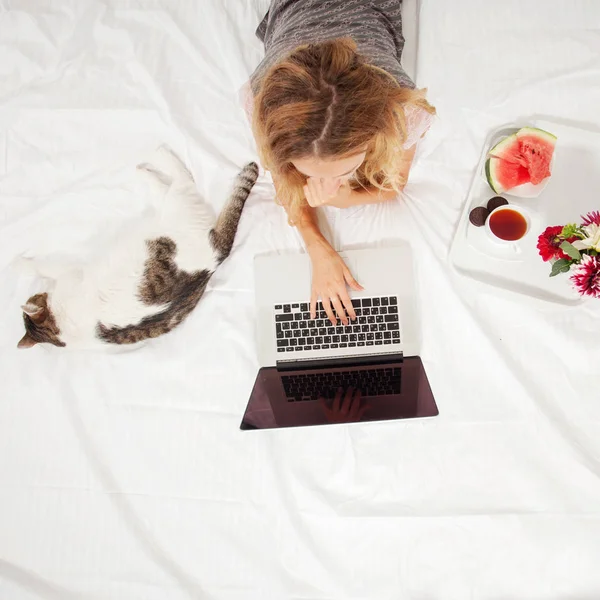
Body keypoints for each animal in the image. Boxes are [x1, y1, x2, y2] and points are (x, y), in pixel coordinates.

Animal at [17, 146, 258, 350]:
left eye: (32, 299)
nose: (34, 295)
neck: (60, 330)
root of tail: (215, 255)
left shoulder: (70, 272)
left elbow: (42, 266)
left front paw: (18, 263)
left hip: (175, 205)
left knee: (182, 178)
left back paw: (155, 157)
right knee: (170, 184)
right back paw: (146, 170)